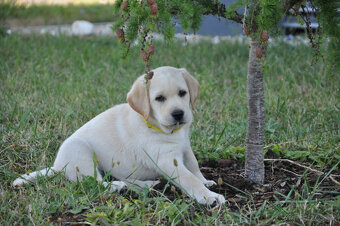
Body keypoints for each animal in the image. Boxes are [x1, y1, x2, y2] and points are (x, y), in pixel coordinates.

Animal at [13, 66, 226, 206]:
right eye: (159, 98)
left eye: (183, 93)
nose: (178, 114)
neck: (158, 126)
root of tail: (57, 166)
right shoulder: (167, 160)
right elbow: (188, 178)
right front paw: (208, 196)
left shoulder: (185, 146)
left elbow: (193, 165)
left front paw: (205, 181)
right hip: (80, 150)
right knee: (96, 183)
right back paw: (117, 186)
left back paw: (147, 184)